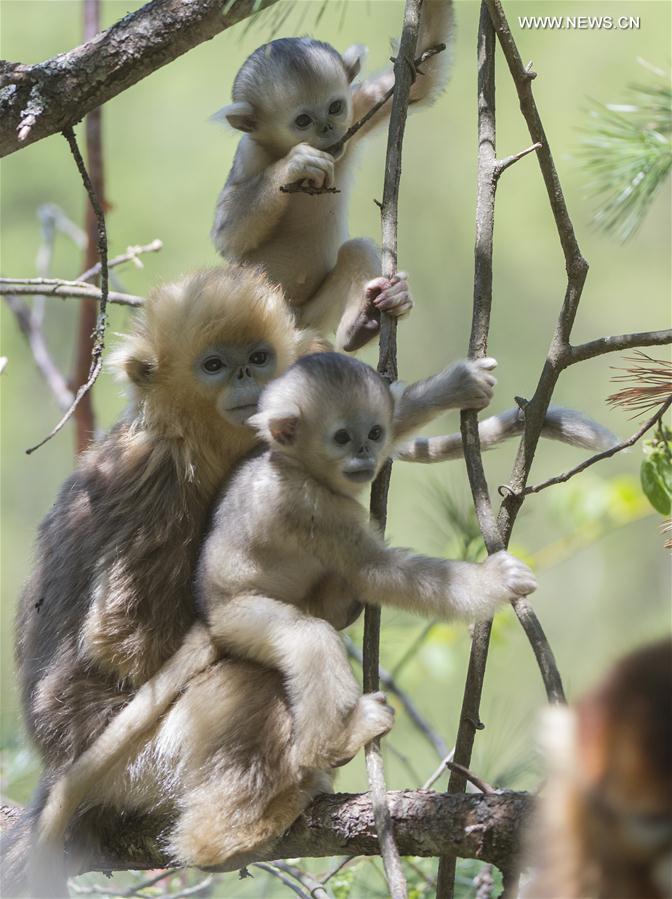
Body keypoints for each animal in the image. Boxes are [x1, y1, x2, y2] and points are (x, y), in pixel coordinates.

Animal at [27, 352, 538, 893]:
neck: (291, 465)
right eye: (342, 437)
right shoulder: (315, 509)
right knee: (309, 638)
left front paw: (459, 384)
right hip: (243, 619)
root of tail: (208, 618)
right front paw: (497, 580)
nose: (365, 455)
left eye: (375, 432)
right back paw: (328, 745)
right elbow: (378, 571)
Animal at [210, 0, 454, 351]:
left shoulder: (358, 107)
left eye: (335, 107)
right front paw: (296, 163)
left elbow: (418, 77)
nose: (327, 129)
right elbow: (228, 235)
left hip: (313, 317)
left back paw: (364, 322)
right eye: (303, 121)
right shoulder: (250, 155)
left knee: (356, 249)